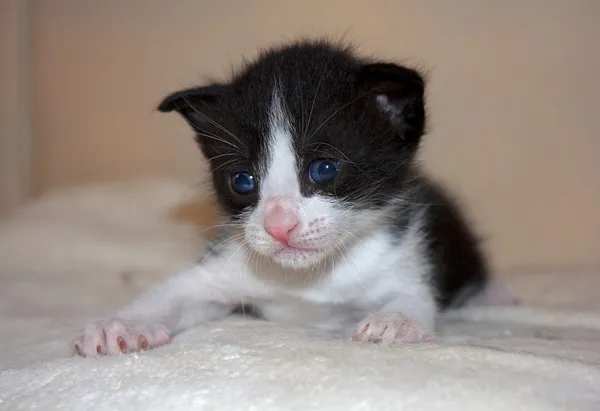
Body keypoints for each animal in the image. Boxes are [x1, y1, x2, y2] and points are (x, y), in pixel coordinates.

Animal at [69, 40, 506, 358]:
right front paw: (120, 326)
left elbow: (414, 297)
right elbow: (176, 290)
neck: (308, 278)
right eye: (242, 180)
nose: (279, 226)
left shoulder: (404, 254)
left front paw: (395, 322)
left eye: (324, 169)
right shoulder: (229, 262)